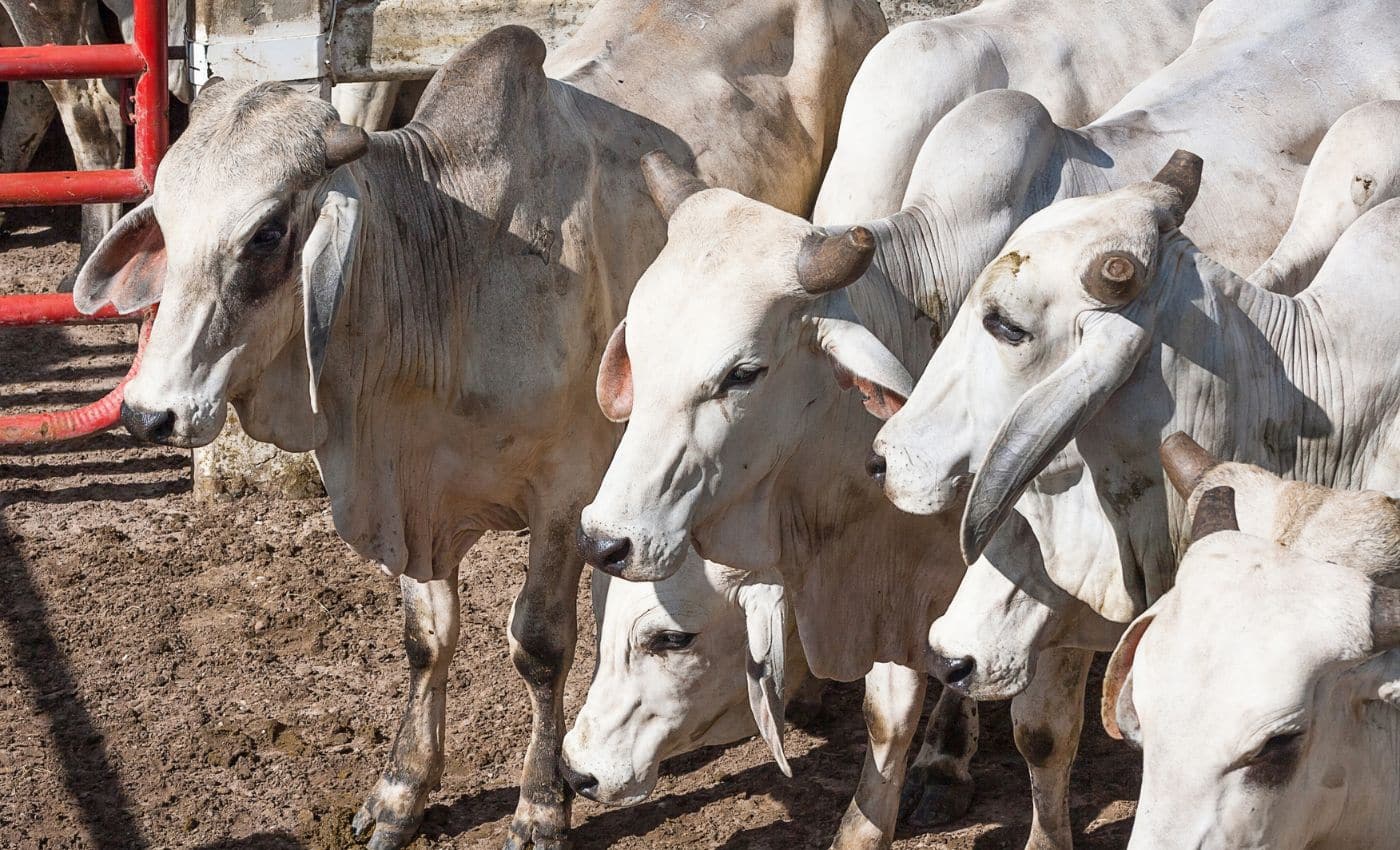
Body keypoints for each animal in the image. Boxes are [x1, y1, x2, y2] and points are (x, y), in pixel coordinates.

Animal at [68, 3, 884, 845]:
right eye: (166, 225)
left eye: (265, 232)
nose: (149, 412)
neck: (451, 273)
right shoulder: (419, 504)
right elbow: (427, 641)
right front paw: (400, 793)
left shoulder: (566, 497)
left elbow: (540, 647)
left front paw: (541, 804)